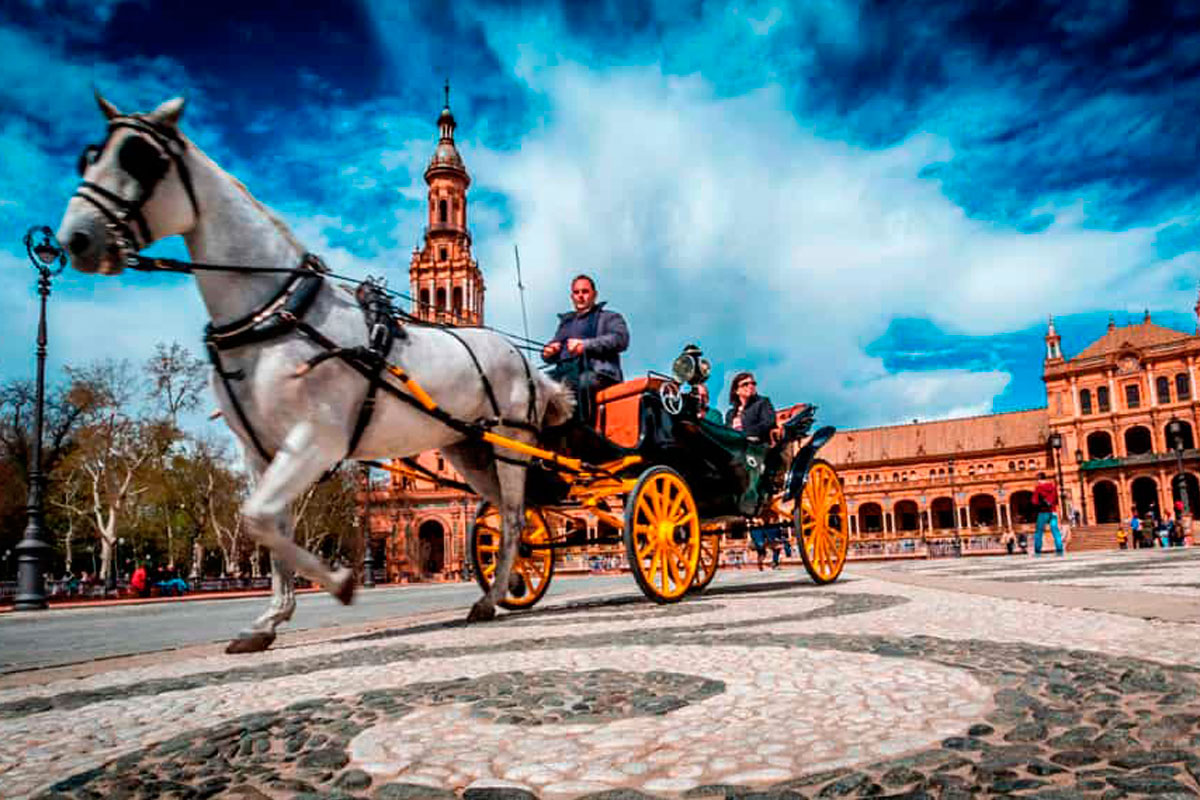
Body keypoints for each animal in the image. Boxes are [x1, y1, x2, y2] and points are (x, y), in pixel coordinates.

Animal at [58, 94, 573, 652]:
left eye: (139, 158)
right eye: (90, 156)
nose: (75, 237)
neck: (277, 311)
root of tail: (524, 363)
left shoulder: (317, 438)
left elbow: (261, 519)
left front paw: (340, 582)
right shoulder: (261, 452)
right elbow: (267, 525)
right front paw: (271, 618)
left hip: (508, 442)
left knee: (516, 517)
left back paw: (490, 596)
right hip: (471, 449)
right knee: (507, 518)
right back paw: (506, 587)